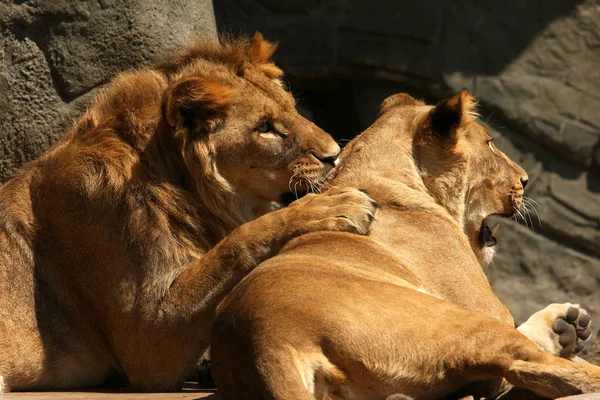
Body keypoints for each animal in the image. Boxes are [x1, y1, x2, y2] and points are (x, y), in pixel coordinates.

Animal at [0, 33, 380, 390]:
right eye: (264, 128)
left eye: (293, 108)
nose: (334, 155)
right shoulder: (146, 340)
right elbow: (239, 240)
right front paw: (336, 206)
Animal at [212, 90, 600, 400]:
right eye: (490, 143)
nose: (525, 179)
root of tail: (263, 342)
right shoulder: (486, 306)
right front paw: (565, 328)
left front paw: (567, 325)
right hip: (456, 321)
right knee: (526, 367)